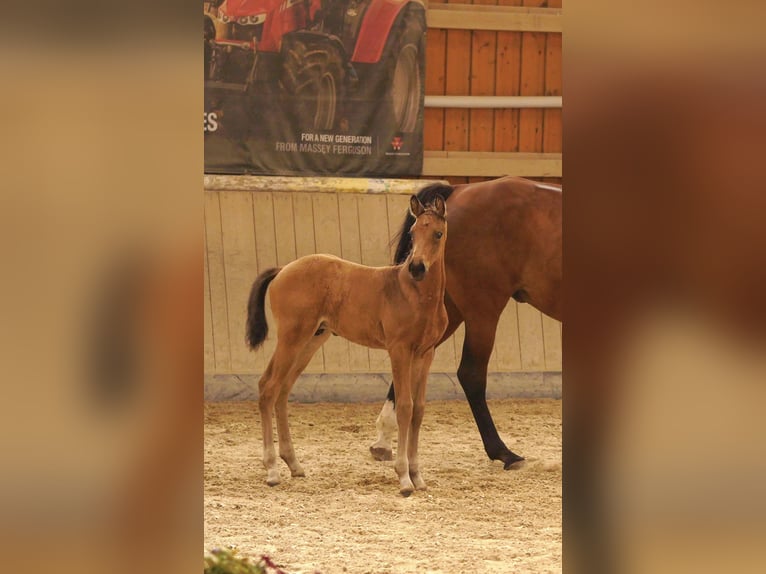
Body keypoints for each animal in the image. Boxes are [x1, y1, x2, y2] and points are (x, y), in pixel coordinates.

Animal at [246, 196, 450, 498]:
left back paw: (293, 464)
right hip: (292, 337)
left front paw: (417, 476)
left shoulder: (426, 353)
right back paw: (272, 469)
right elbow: (404, 407)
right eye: (413, 233)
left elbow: (419, 410)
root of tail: (283, 269)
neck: (415, 294)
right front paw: (403, 478)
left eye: (437, 233)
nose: (416, 267)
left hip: (311, 340)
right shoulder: (399, 350)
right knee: (268, 387)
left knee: (282, 390)